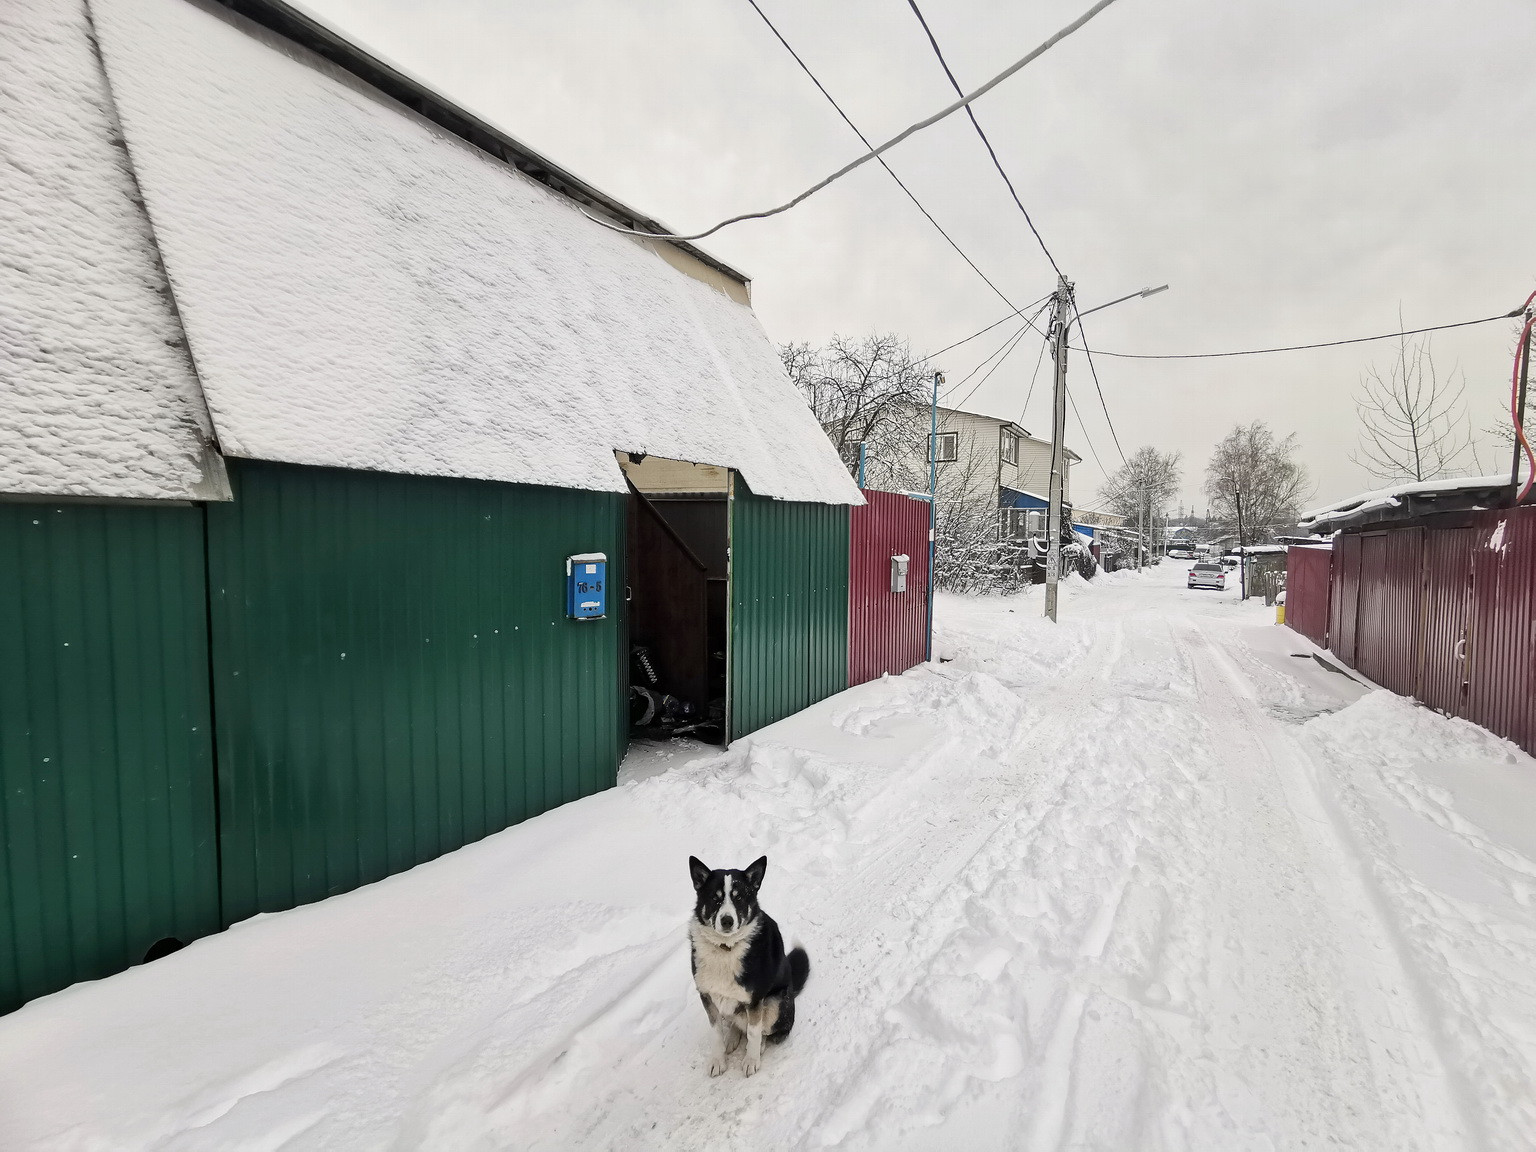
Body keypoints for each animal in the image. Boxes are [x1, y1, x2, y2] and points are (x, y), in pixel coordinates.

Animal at [691, 854, 811, 1081]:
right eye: (714, 898)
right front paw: (718, 1060)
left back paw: (759, 1046)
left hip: (775, 1003)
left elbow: (754, 1032)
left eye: (739, 898)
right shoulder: (707, 996)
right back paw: (732, 1037)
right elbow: (716, 1033)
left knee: (764, 1030)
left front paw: (751, 1060)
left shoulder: (756, 999)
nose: (727, 921)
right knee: (736, 1023)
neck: (726, 948)